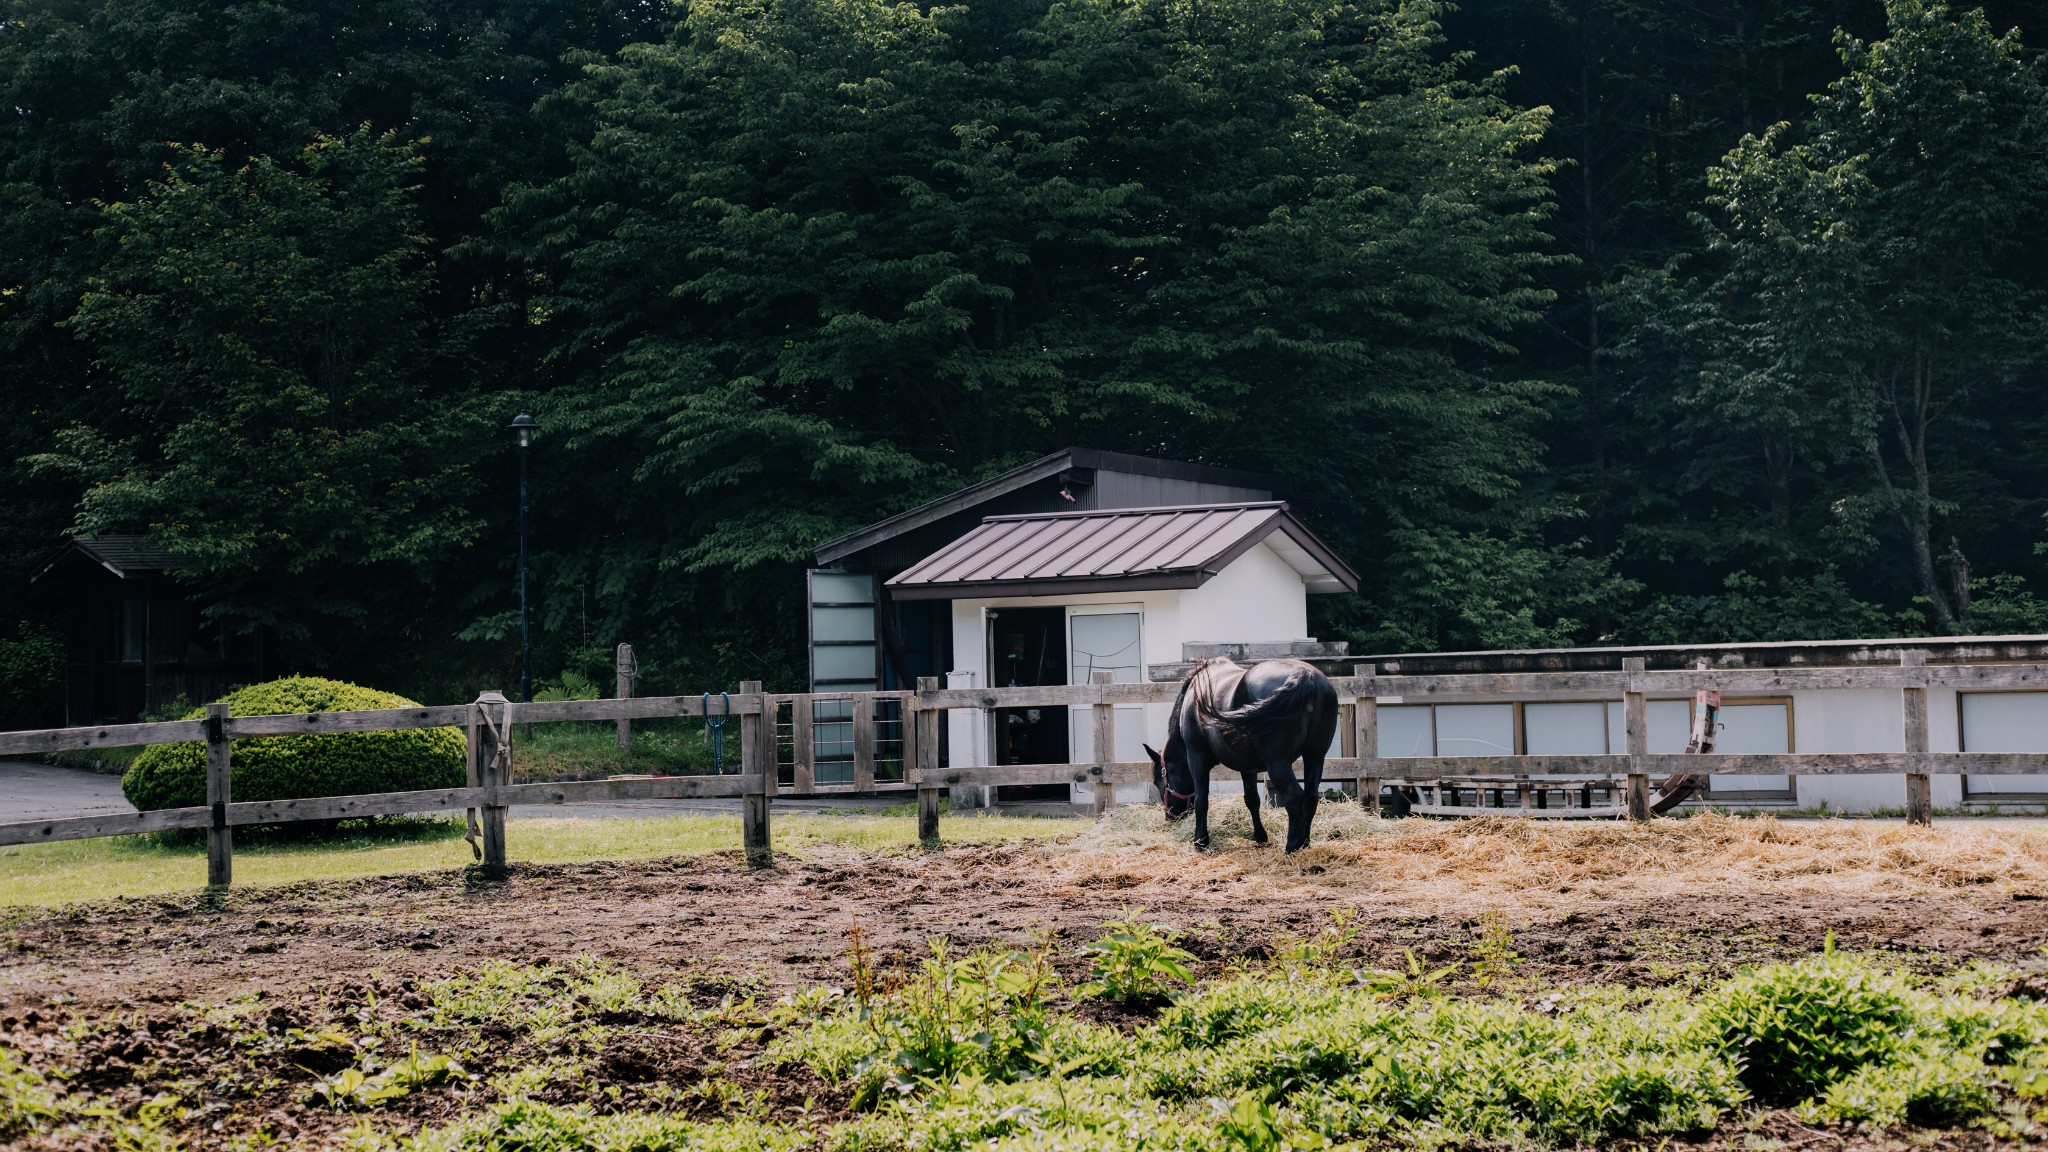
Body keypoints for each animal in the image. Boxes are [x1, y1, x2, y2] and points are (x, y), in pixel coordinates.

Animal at [1146, 655, 1335, 852]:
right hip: (1315, 757)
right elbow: (1252, 799)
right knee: (1311, 796)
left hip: (1278, 764)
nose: (1169, 818)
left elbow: (1201, 800)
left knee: (1294, 798)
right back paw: (1305, 842)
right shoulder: (1247, 767)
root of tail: (1304, 675)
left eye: (1158, 781)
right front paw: (1260, 836)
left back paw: (1292, 845)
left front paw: (1200, 841)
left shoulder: (1196, 759)